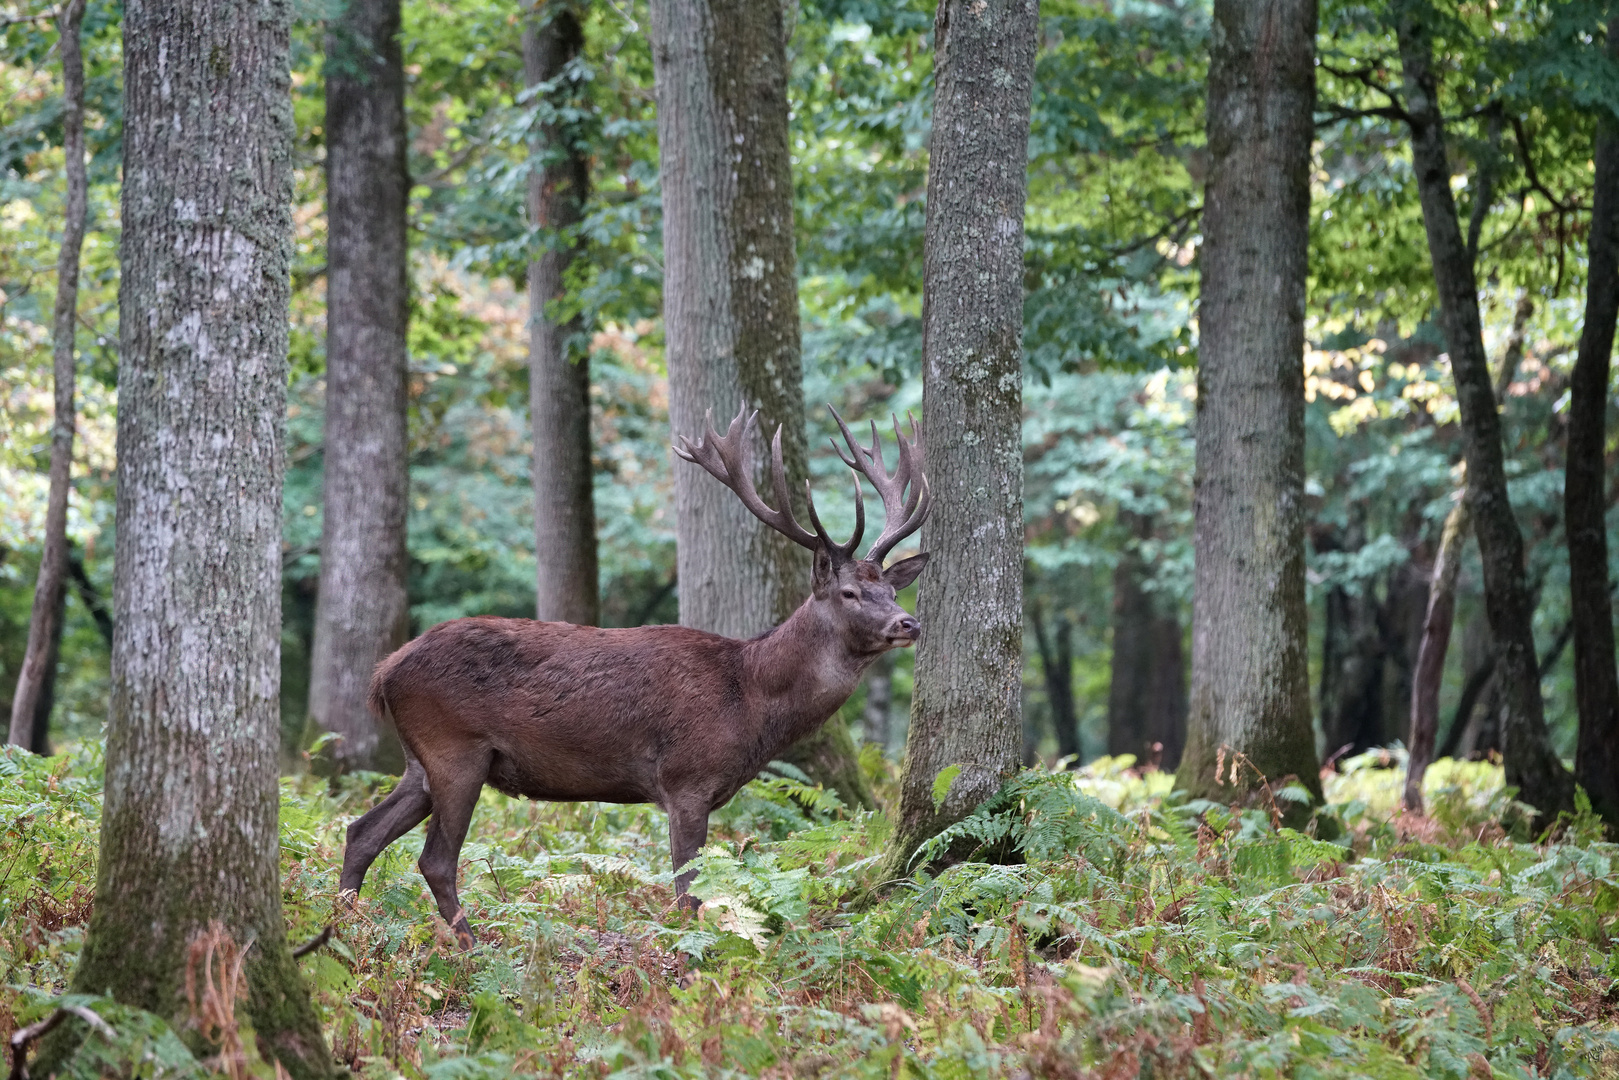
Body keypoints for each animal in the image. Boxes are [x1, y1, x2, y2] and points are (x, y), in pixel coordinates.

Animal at [335, 403, 932, 945]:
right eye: (850, 592)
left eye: (891, 588)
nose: (909, 622)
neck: (750, 701)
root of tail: (384, 673)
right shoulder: (686, 779)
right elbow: (687, 889)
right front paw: (692, 957)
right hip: (456, 748)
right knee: (435, 858)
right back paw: (469, 947)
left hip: (420, 759)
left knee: (361, 831)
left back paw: (344, 929)